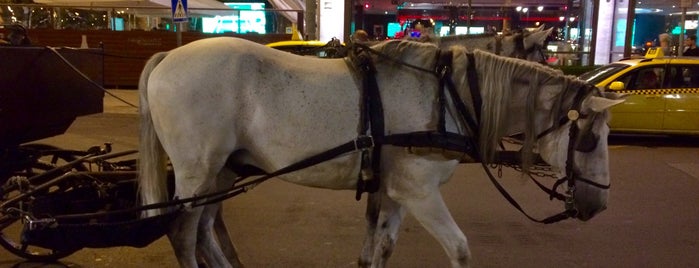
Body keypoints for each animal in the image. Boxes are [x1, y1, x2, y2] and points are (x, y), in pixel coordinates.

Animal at [137, 36, 624, 266]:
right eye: (589, 140)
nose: (599, 205)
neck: (446, 94)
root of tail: (168, 57)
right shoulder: (420, 193)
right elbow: (460, 249)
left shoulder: (393, 192)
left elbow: (379, 250)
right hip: (197, 173)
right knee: (183, 234)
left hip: (220, 174)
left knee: (205, 231)